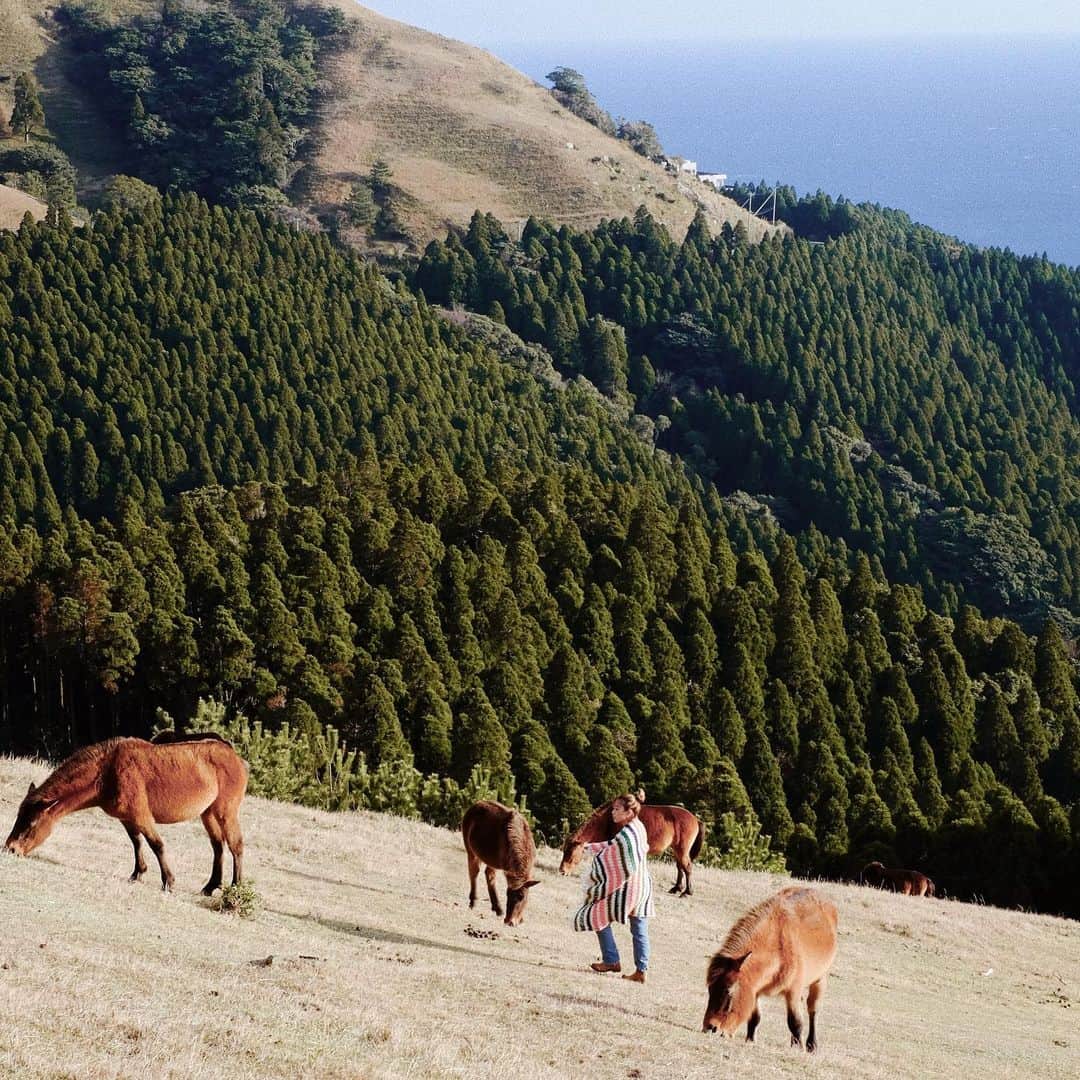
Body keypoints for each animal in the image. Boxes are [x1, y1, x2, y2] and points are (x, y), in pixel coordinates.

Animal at [5, 736, 248, 895]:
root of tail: (238, 759)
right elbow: (136, 843)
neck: (107, 771)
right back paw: (210, 886)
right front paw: (137, 873)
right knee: (218, 846)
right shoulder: (127, 818)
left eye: (32, 823)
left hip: (225, 812)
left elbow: (156, 844)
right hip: (208, 814)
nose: (10, 849)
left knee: (235, 845)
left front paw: (168, 882)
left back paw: (235, 887)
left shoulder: (142, 816)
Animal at [560, 790, 704, 896]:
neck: (609, 819)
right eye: (564, 851)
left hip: (682, 849)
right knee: (680, 867)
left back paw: (687, 892)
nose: (562, 871)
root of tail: (695, 819)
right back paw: (676, 888)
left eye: (571, 854)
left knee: (687, 867)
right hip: (676, 849)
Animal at [703, 886, 838, 1052]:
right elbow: (755, 1018)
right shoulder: (755, 990)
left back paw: (811, 1044)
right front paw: (750, 1039)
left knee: (813, 1010)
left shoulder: (793, 991)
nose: (710, 1028)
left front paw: (799, 1047)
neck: (778, 948)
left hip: (820, 979)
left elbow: (795, 1022)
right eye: (710, 990)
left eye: (729, 992)